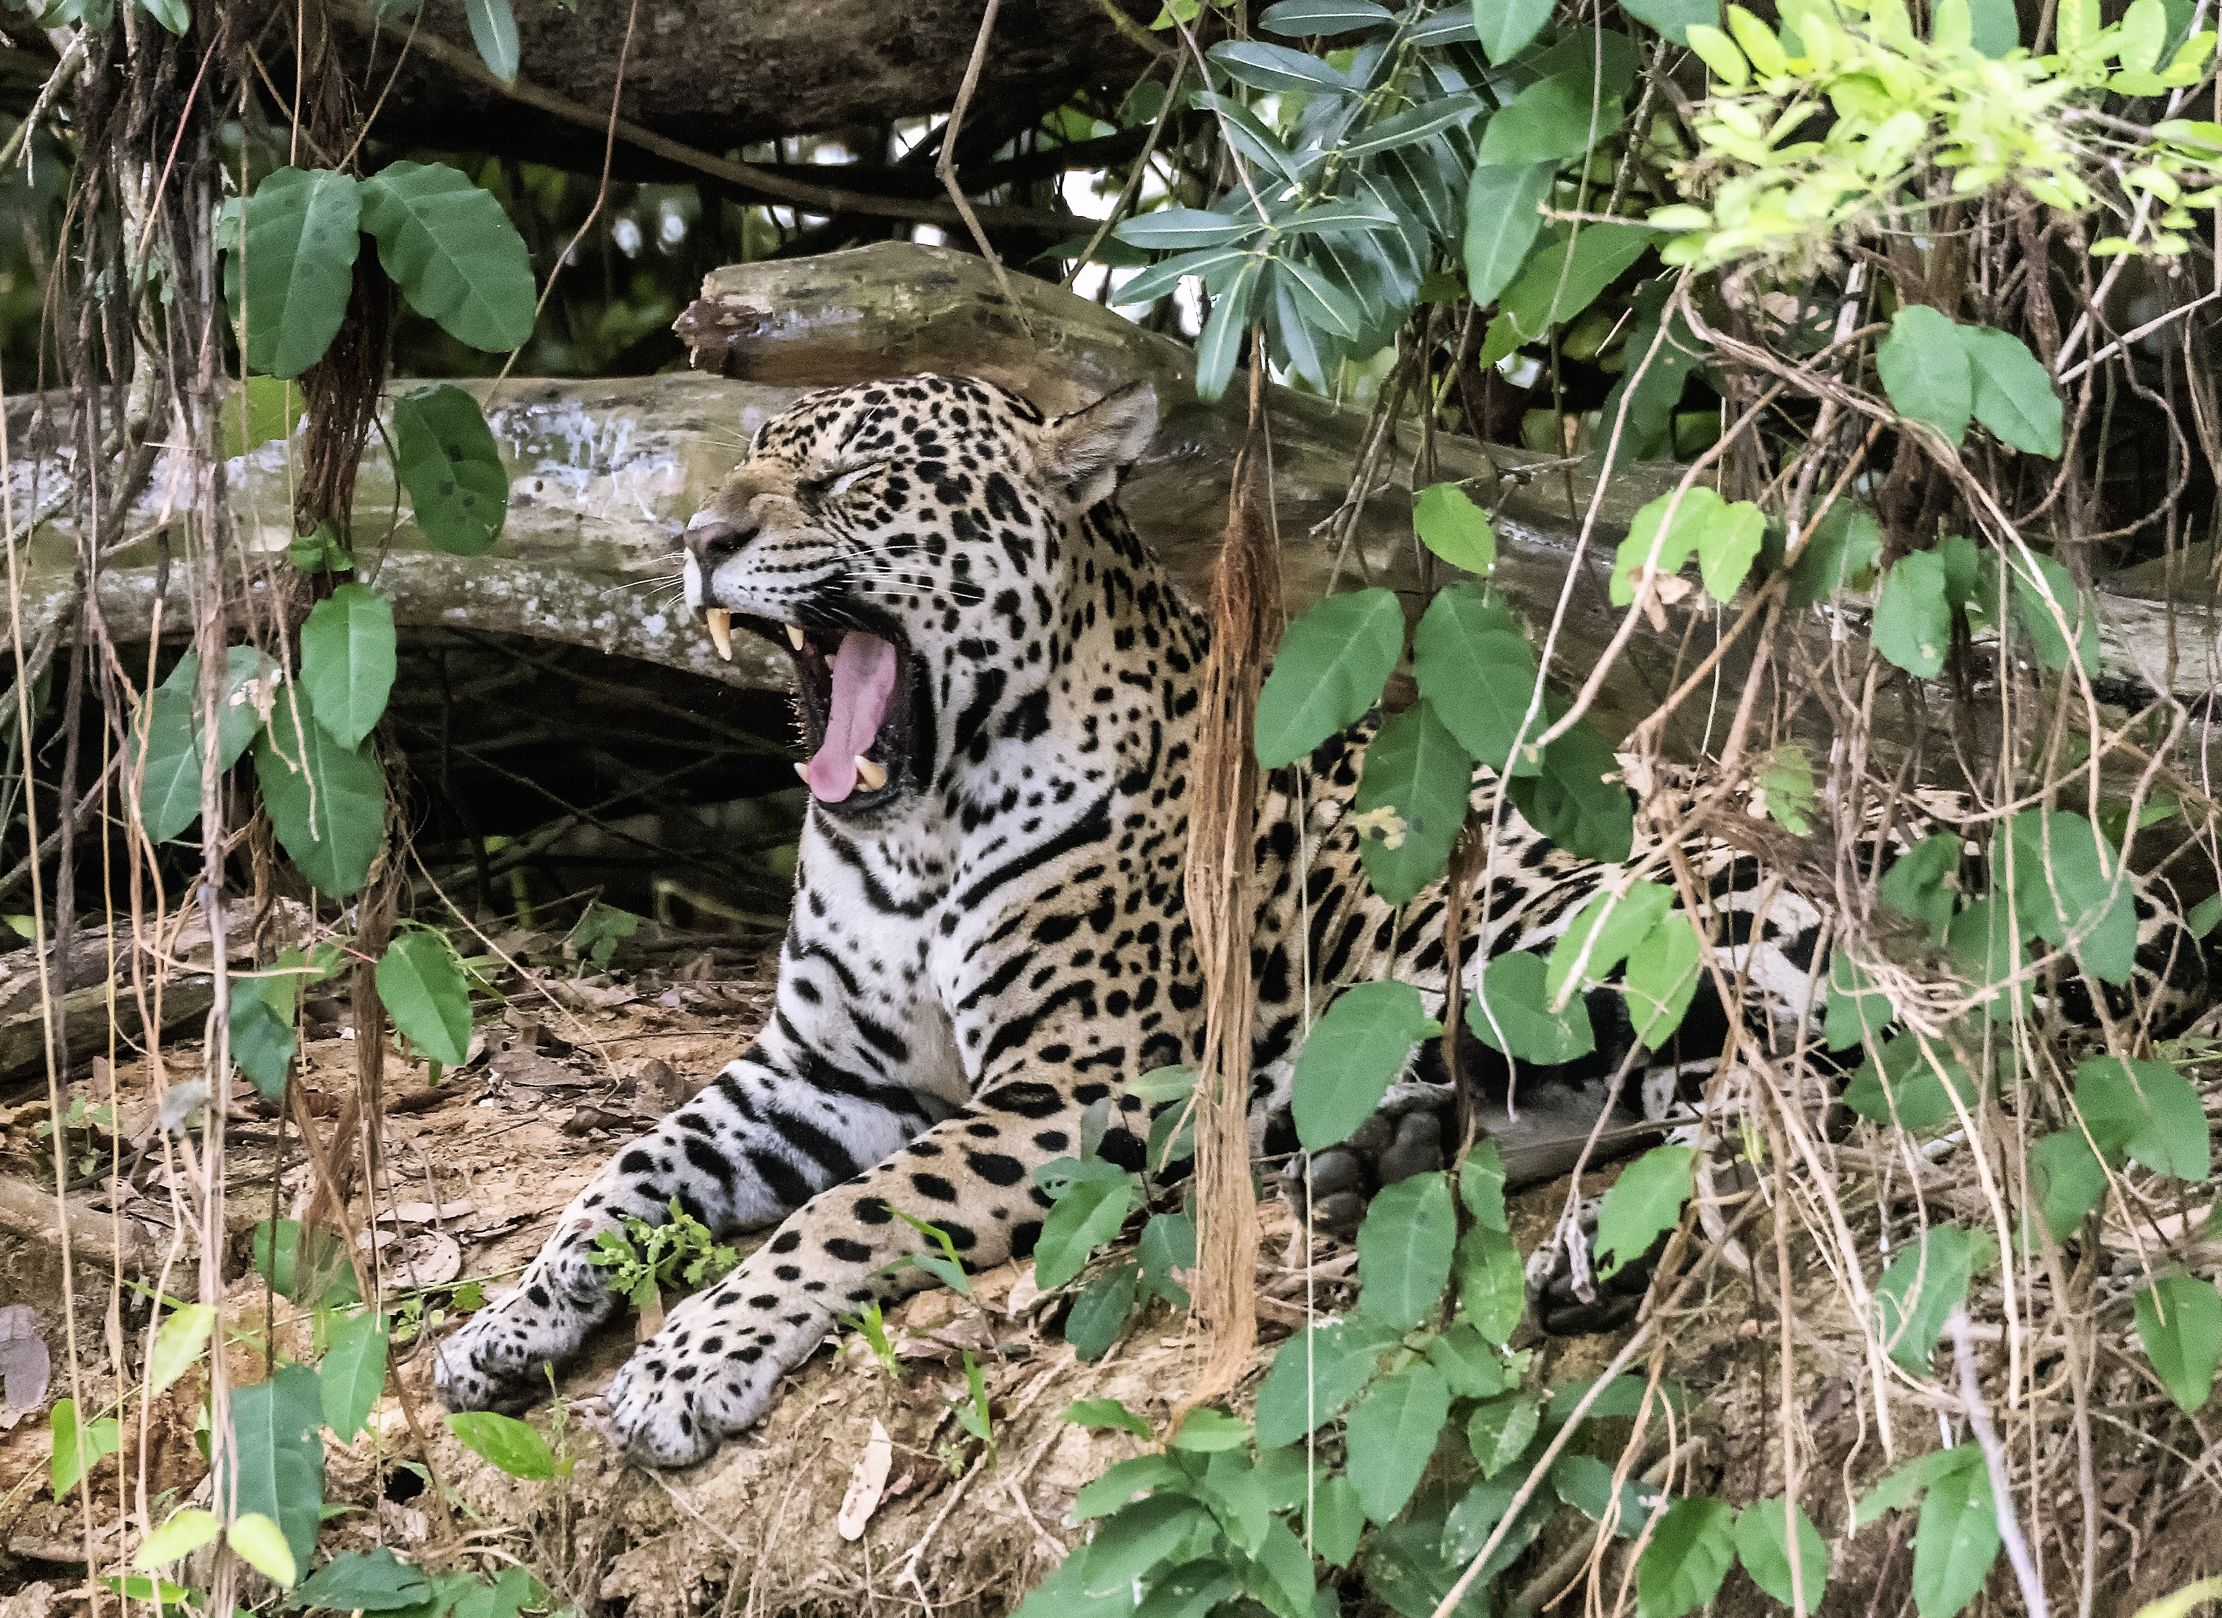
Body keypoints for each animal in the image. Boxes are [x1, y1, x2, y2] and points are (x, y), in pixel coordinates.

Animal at [435, 372, 2208, 1467]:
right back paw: (1380, 1153)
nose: (698, 539)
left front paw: (685, 1365)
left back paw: (1571, 1231)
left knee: (1838, 1093)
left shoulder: (1082, 1091)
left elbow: (845, 1218)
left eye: (852, 476)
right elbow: (629, 1167)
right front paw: (508, 1319)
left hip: (1584, 920)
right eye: (746, 456)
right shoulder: (818, 1070)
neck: (917, 822)